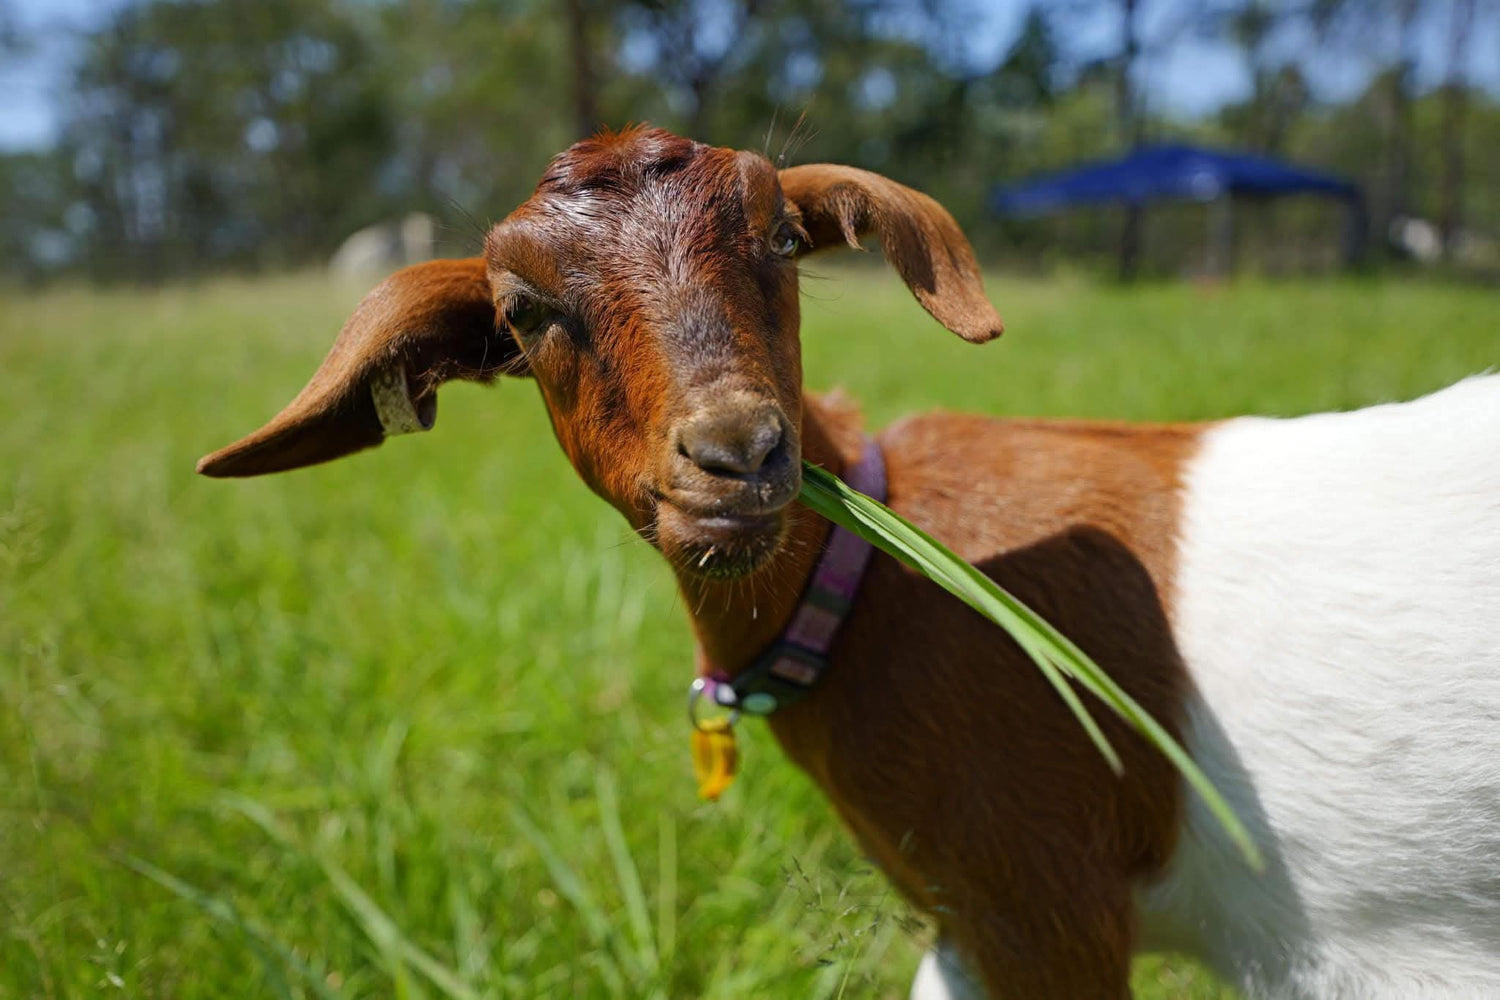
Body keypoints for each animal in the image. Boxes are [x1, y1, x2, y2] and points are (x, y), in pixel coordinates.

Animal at [198, 126, 1500, 999]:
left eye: (782, 237)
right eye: (523, 314)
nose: (738, 452)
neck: (876, 580)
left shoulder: (1045, 904)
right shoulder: (971, 920)